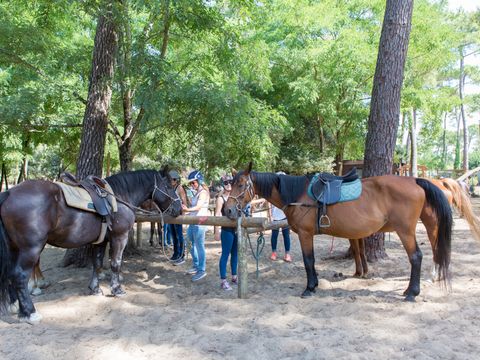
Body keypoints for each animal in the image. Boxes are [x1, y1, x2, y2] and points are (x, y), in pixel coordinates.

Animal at [0, 169, 182, 324]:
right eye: (168, 186)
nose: (179, 208)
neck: (119, 198)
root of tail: (9, 193)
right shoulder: (119, 237)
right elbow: (115, 263)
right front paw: (117, 289)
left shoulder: (101, 241)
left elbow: (97, 263)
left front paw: (95, 289)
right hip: (31, 249)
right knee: (20, 275)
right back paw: (30, 312)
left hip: (14, 248)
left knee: (10, 273)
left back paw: (14, 305)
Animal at [226, 164, 454, 300]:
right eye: (231, 184)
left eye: (241, 184)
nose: (226, 210)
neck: (298, 194)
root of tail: (415, 180)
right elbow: (311, 261)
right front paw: (315, 284)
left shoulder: (305, 234)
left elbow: (308, 260)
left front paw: (309, 288)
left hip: (405, 231)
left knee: (416, 257)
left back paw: (411, 293)